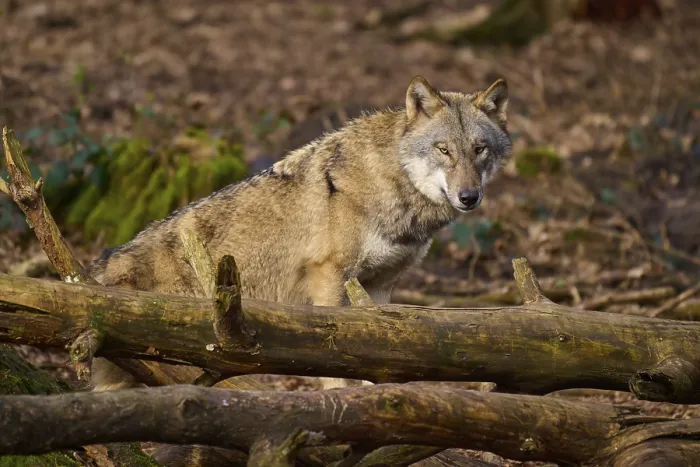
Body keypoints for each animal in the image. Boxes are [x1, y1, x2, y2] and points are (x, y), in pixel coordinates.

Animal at [89, 75, 512, 393]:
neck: (392, 185)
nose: (469, 197)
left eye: (479, 149)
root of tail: (100, 270)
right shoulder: (330, 277)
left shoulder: (379, 288)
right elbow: (337, 365)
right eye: (443, 150)